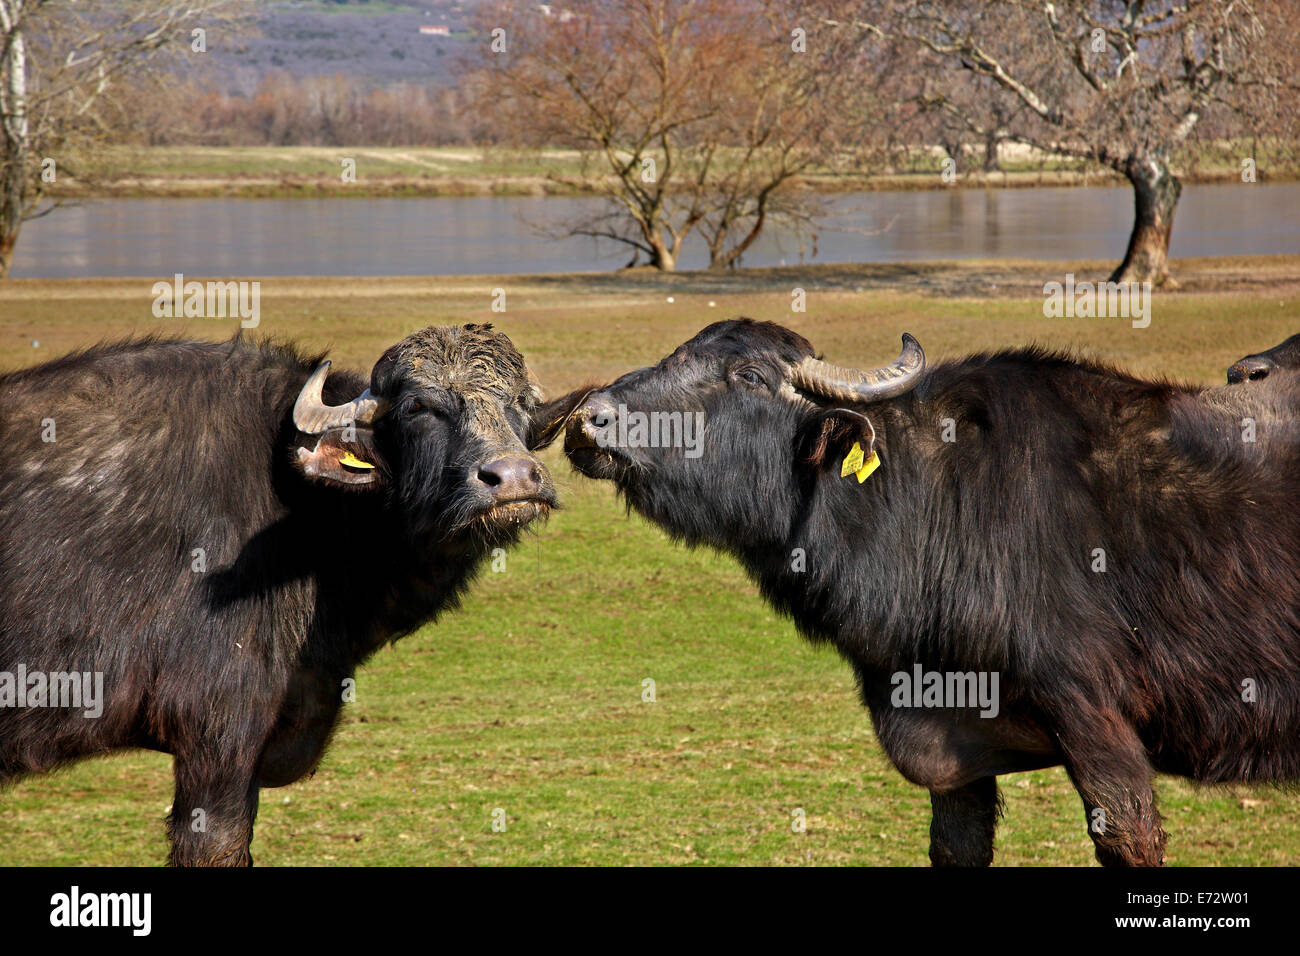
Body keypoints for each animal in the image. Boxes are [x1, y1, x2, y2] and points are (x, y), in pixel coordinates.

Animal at [564, 321, 1300, 868]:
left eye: (745, 376)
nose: (588, 419)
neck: (933, 507)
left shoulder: (1095, 718)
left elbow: (1128, 838)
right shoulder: (954, 753)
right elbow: (955, 849)